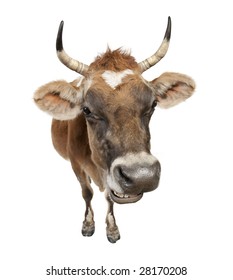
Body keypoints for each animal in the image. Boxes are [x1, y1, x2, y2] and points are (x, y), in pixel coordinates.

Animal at [34, 17, 195, 244]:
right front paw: (88, 224)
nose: (141, 176)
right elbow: (87, 193)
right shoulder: (75, 165)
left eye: (153, 104)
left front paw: (112, 229)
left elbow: (109, 197)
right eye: (86, 109)